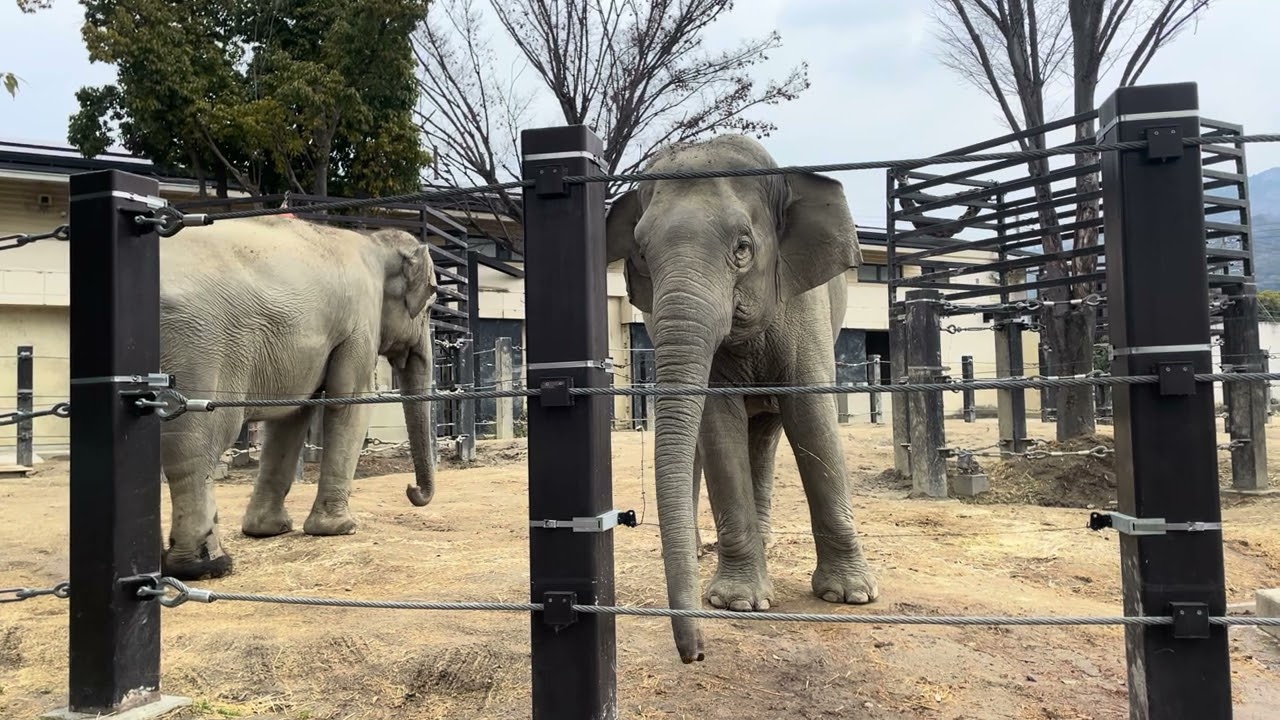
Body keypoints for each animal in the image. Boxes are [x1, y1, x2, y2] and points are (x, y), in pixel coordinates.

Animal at [156, 215, 439, 580]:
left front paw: (267, 530)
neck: (373, 242)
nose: (411, 491)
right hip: (199, 348)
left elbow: (291, 416)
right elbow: (351, 402)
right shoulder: (360, 321)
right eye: (431, 305)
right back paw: (207, 565)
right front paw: (340, 529)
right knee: (194, 444)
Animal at [604, 134, 879, 663]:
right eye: (642, 254)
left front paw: (851, 595)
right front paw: (738, 602)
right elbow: (717, 425)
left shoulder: (803, 301)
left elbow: (812, 419)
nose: (695, 653)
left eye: (743, 248)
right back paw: (699, 551)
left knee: (768, 432)